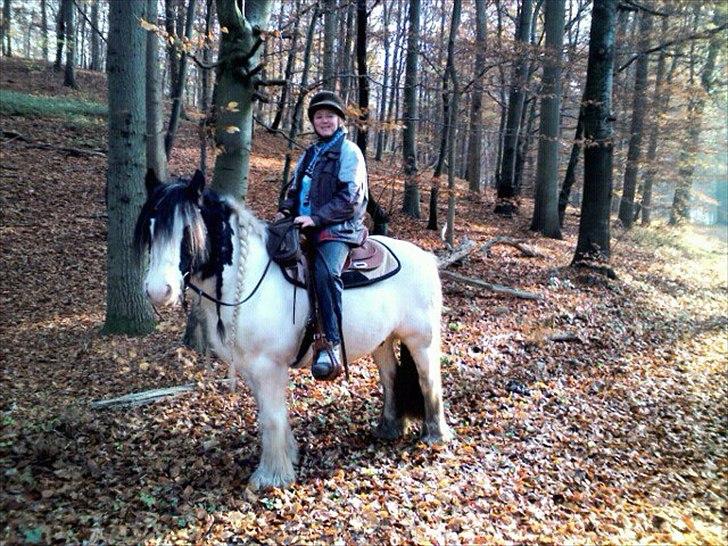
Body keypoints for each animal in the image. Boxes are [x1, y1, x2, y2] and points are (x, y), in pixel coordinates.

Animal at [132, 168, 450, 486]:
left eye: (189, 230)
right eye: (150, 228)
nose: (158, 291)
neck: (247, 279)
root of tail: (427, 258)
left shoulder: (268, 366)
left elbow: (271, 418)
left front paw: (272, 475)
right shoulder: (251, 367)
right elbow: (270, 414)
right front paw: (288, 456)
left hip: (421, 340)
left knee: (428, 379)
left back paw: (436, 434)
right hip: (383, 342)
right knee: (390, 377)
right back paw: (389, 427)